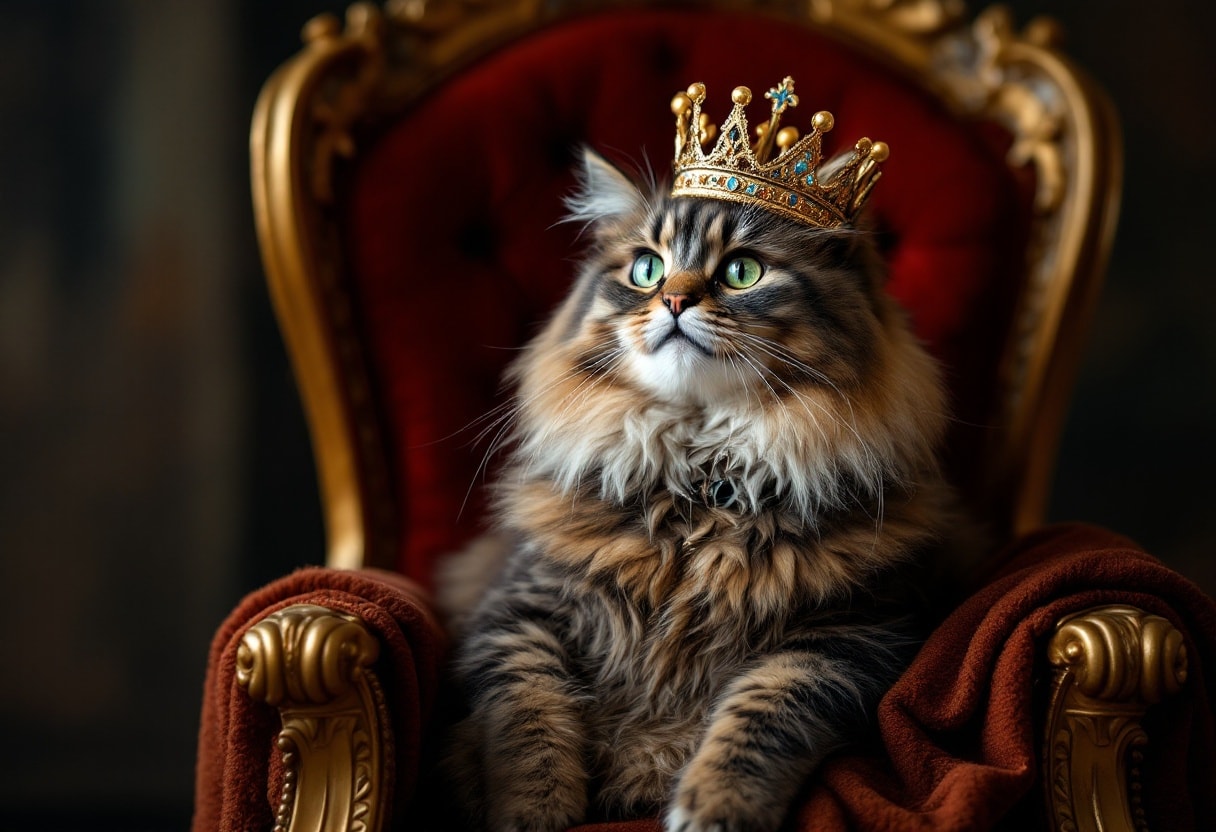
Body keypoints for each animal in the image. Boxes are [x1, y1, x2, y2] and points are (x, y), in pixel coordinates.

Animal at [437, 131, 958, 832]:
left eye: (742, 271)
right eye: (646, 270)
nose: (675, 301)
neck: (697, 486)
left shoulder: (848, 638)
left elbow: (761, 716)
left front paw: (715, 805)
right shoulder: (517, 611)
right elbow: (527, 715)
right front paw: (533, 811)